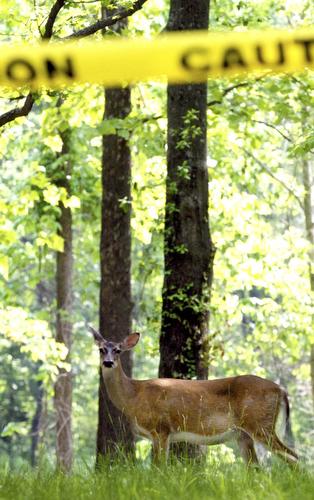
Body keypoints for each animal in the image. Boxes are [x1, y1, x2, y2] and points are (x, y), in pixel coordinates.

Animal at [89, 326, 298, 466]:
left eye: (118, 350)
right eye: (101, 349)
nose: (108, 362)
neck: (133, 396)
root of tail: (281, 390)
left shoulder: (161, 428)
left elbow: (159, 468)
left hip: (261, 424)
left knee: (293, 456)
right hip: (243, 433)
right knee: (255, 467)